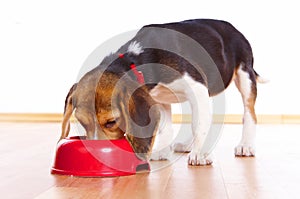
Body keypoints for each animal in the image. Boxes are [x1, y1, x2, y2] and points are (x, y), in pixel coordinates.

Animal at [59, 19, 264, 165]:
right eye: (82, 122)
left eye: (111, 122)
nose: (96, 154)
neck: (136, 60)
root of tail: (233, 28)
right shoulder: (157, 98)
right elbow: (167, 126)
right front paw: (162, 152)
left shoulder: (196, 88)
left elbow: (198, 124)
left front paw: (200, 154)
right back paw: (187, 145)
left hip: (245, 76)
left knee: (249, 113)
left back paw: (245, 145)